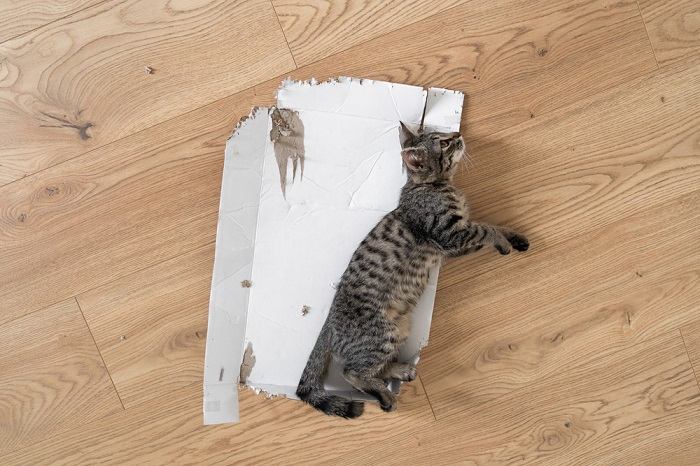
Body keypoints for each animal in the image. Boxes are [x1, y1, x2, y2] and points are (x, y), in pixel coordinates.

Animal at [296, 122, 532, 416]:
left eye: (444, 135)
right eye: (443, 143)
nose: (457, 135)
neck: (431, 186)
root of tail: (328, 324)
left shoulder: (456, 240)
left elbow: (491, 225)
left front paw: (513, 237)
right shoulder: (450, 235)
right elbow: (486, 229)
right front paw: (502, 241)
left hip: (400, 328)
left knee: (377, 368)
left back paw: (400, 371)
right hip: (381, 334)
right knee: (352, 372)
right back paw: (385, 396)